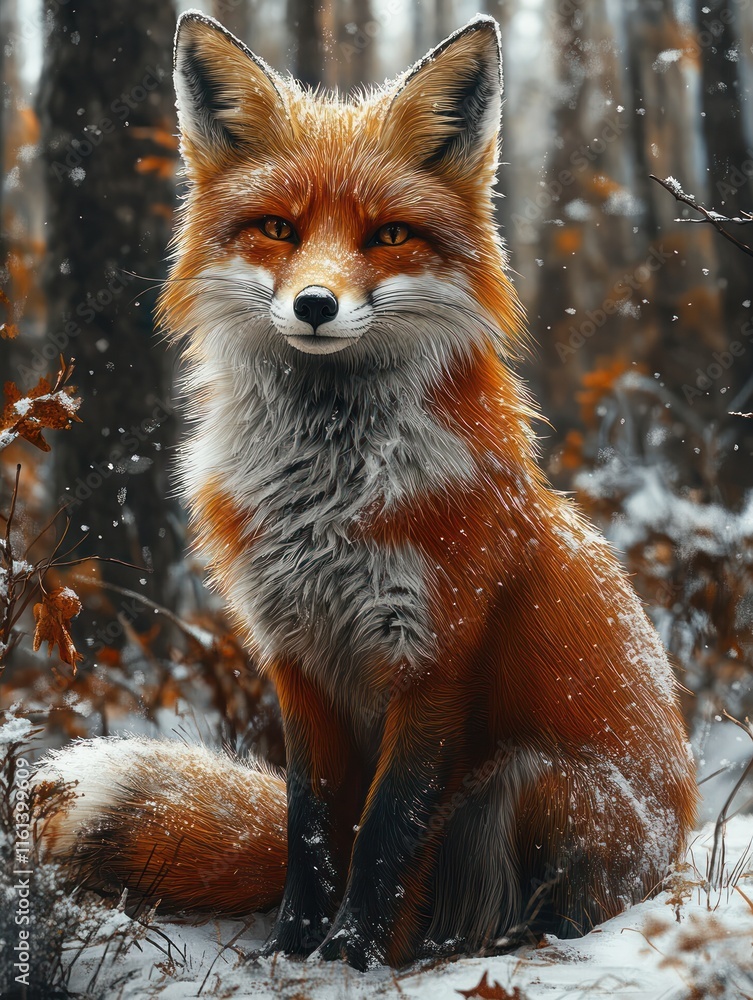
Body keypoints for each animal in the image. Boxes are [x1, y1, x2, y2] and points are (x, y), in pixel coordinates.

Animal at [37, 11, 697, 971]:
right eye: (277, 227)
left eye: (387, 236)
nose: (314, 305)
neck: (324, 501)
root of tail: (676, 843)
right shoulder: (296, 661)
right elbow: (310, 826)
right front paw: (292, 949)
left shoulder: (435, 661)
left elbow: (386, 834)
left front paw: (351, 957)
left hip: (543, 782)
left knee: (527, 893)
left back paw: (473, 945)